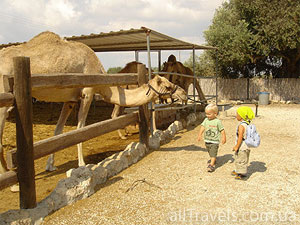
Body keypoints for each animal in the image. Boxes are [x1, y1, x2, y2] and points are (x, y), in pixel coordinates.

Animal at [0, 31, 188, 172]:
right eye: (167, 85)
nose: (184, 94)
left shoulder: (70, 100)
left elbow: (58, 130)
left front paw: (50, 166)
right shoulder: (87, 93)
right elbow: (80, 129)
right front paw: (82, 164)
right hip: (4, 97)